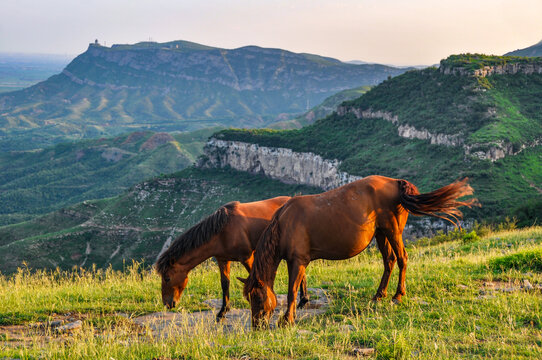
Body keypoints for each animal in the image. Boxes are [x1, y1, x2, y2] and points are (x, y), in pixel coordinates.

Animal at [240, 176, 478, 328]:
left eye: (257, 297)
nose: (257, 326)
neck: (284, 223)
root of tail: (396, 182)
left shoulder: (297, 261)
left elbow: (291, 291)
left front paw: (287, 319)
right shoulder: (299, 262)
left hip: (393, 231)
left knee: (401, 259)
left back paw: (398, 295)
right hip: (381, 233)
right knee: (389, 261)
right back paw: (379, 295)